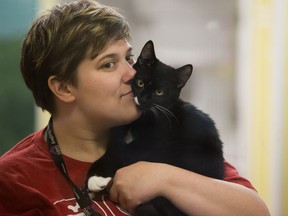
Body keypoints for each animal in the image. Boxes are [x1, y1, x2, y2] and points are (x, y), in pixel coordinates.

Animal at [88, 40, 225, 214]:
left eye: (160, 92)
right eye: (140, 82)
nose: (143, 99)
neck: (141, 119)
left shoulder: (155, 138)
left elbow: (124, 152)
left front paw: (94, 179)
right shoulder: (118, 133)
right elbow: (114, 148)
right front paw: (93, 180)